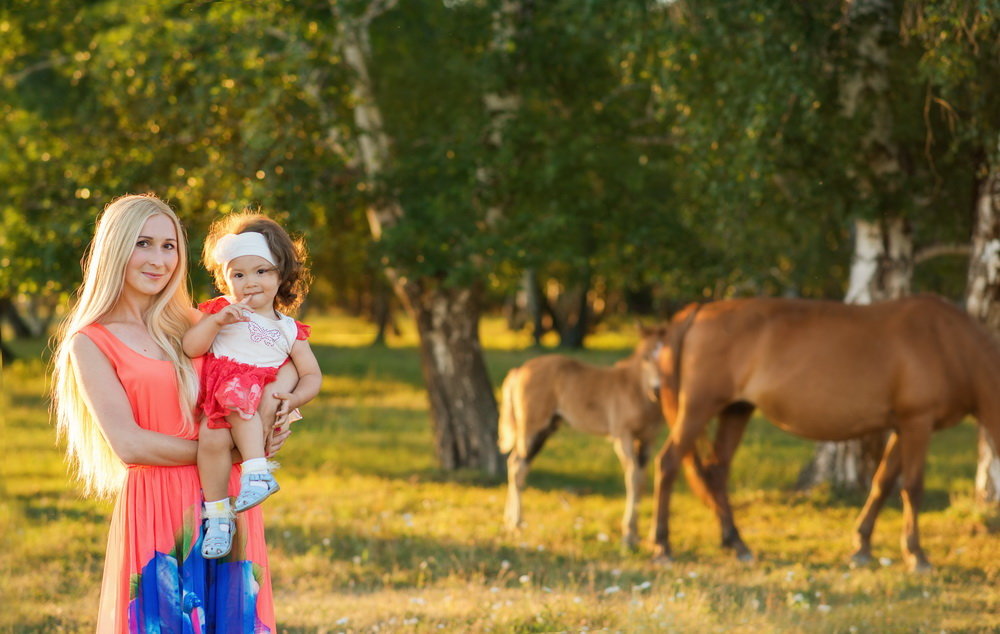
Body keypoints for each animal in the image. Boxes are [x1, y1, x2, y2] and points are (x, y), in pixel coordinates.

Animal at [498, 330, 664, 548]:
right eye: (645, 357)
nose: (657, 390)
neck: (636, 389)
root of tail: (519, 370)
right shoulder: (623, 436)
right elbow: (633, 478)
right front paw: (628, 536)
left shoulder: (648, 439)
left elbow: (641, 480)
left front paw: (635, 534)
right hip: (533, 428)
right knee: (518, 466)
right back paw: (517, 523)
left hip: (545, 429)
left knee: (514, 463)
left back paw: (509, 522)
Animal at [652, 294, 1000, 572]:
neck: (948, 343)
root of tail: (699, 310)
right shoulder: (917, 423)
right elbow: (912, 488)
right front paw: (916, 555)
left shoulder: (902, 428)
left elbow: (882, 482)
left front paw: (861, 546)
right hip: (699, 408)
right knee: (668, 463)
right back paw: (662, 546)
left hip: (736, 411)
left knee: (717, 472)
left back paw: (736, 543)